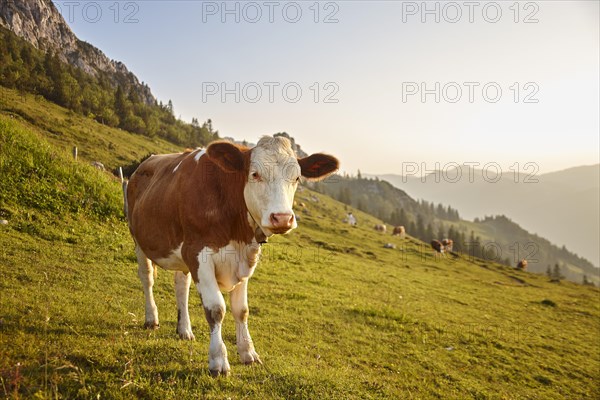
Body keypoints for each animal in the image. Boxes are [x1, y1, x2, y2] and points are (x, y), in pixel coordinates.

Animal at [125, 136, 338, 376]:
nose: (282, 218)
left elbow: (241, 310)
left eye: (297, 178)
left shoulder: (245, 257)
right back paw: (151, 318)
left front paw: (248, 352)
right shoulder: (198, 253)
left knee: (181, 285)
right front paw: (218, 360)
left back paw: (184, 329)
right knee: (147, 278)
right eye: (254, 174)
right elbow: (216, 309)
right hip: (138, 238)